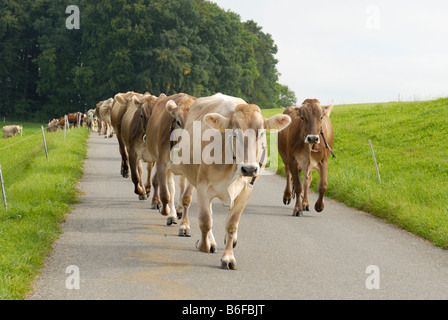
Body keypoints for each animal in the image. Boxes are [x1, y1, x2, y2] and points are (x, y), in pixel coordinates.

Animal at [168, 93, 290, 270]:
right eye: (234, 133)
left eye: (261, 134)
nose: (249, 169)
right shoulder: (203, 187)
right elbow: (206, 220)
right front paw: (204, 245)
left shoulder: (247, 190)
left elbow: (232, 224)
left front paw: (228, 257)